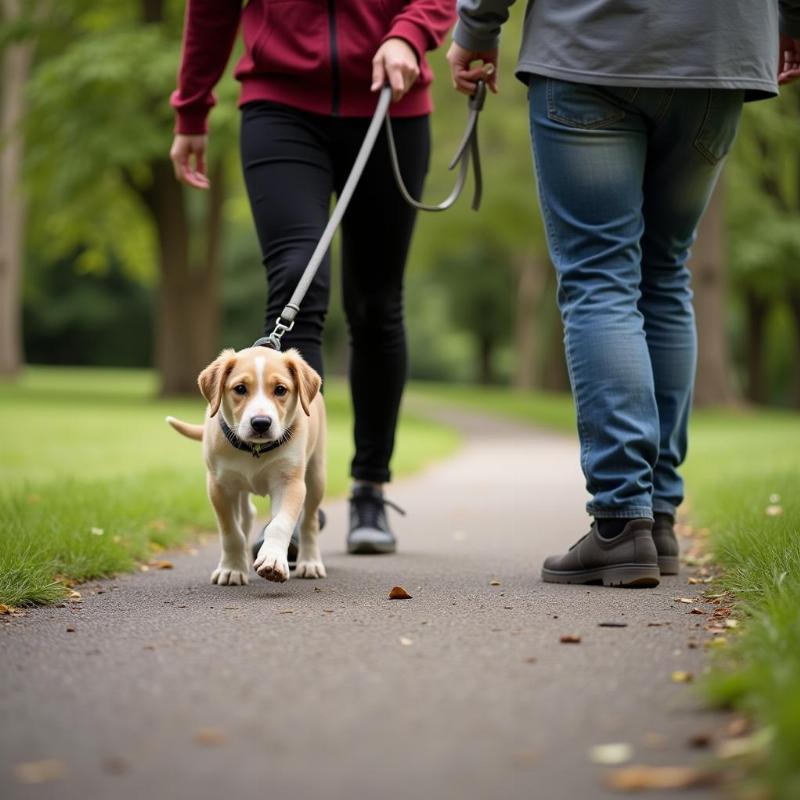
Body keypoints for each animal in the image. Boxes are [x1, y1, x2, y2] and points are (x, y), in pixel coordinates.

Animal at [167, 346, 326, 584]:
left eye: (280, 390)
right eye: (240, 389)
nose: (261, 423)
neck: (255, 450)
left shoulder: (290, 483)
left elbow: (279, 524)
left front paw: (273, 560)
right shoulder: (219, 486)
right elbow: (231, 532)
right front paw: (232, 569)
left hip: (316, 475)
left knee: (309, 520)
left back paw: (310, 562)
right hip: (238, 485)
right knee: (247, 515)